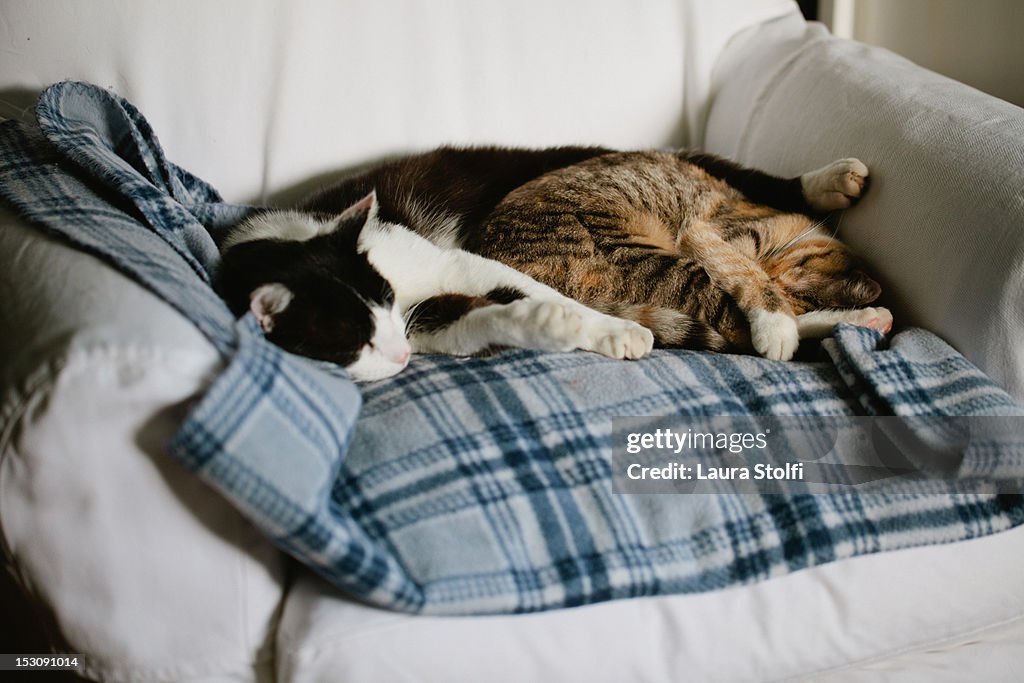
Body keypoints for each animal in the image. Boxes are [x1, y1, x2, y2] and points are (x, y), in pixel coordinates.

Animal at [216, 147, 888, 382]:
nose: (398, 356)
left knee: (756, 176)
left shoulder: (455, 267)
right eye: (348, 346)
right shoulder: (434, 318)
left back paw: (836, 182)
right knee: (716, 311)